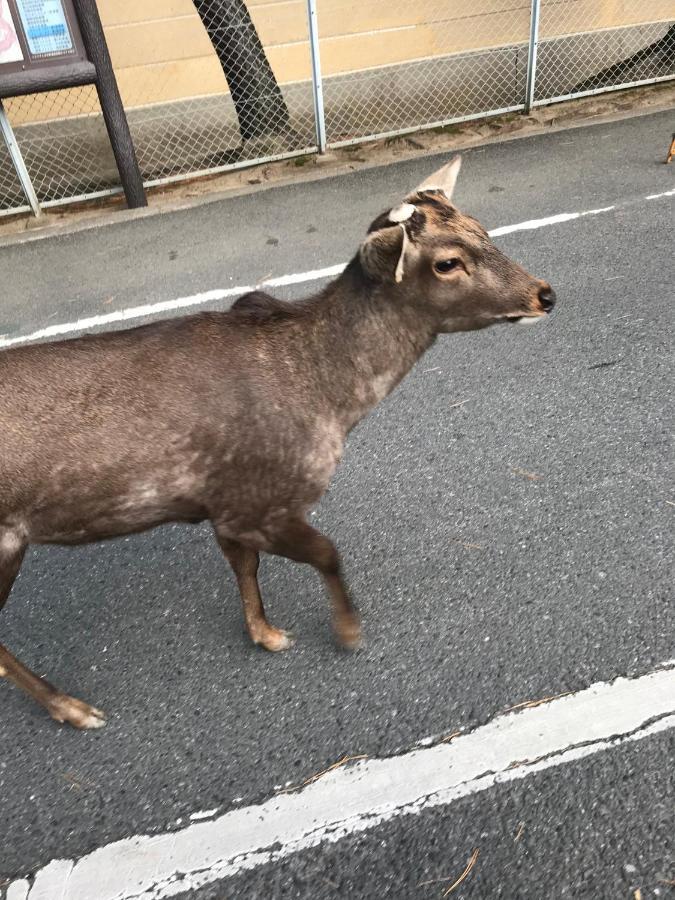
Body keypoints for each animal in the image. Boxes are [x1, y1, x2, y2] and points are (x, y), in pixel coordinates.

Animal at [0, 158, 556, 728]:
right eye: (447, 262)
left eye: (482, 228)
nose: (545, 294)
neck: (330, 405)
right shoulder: (259, 500)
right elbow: (328, 553)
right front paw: (348, 632)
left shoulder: (223, 502)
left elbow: (245, 566)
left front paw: (265, 633)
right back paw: (72, 708)